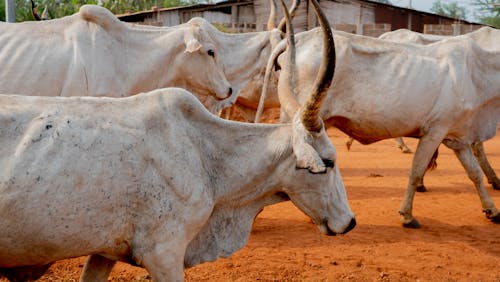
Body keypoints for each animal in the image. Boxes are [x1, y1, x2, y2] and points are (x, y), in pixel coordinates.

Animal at [264, 15, 498, 228]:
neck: (478, 71)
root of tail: (300, 38)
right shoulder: (434, 132)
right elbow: (416, 172)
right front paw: (407, 215)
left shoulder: (457, 138)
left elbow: (474, 174)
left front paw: (492, 210)